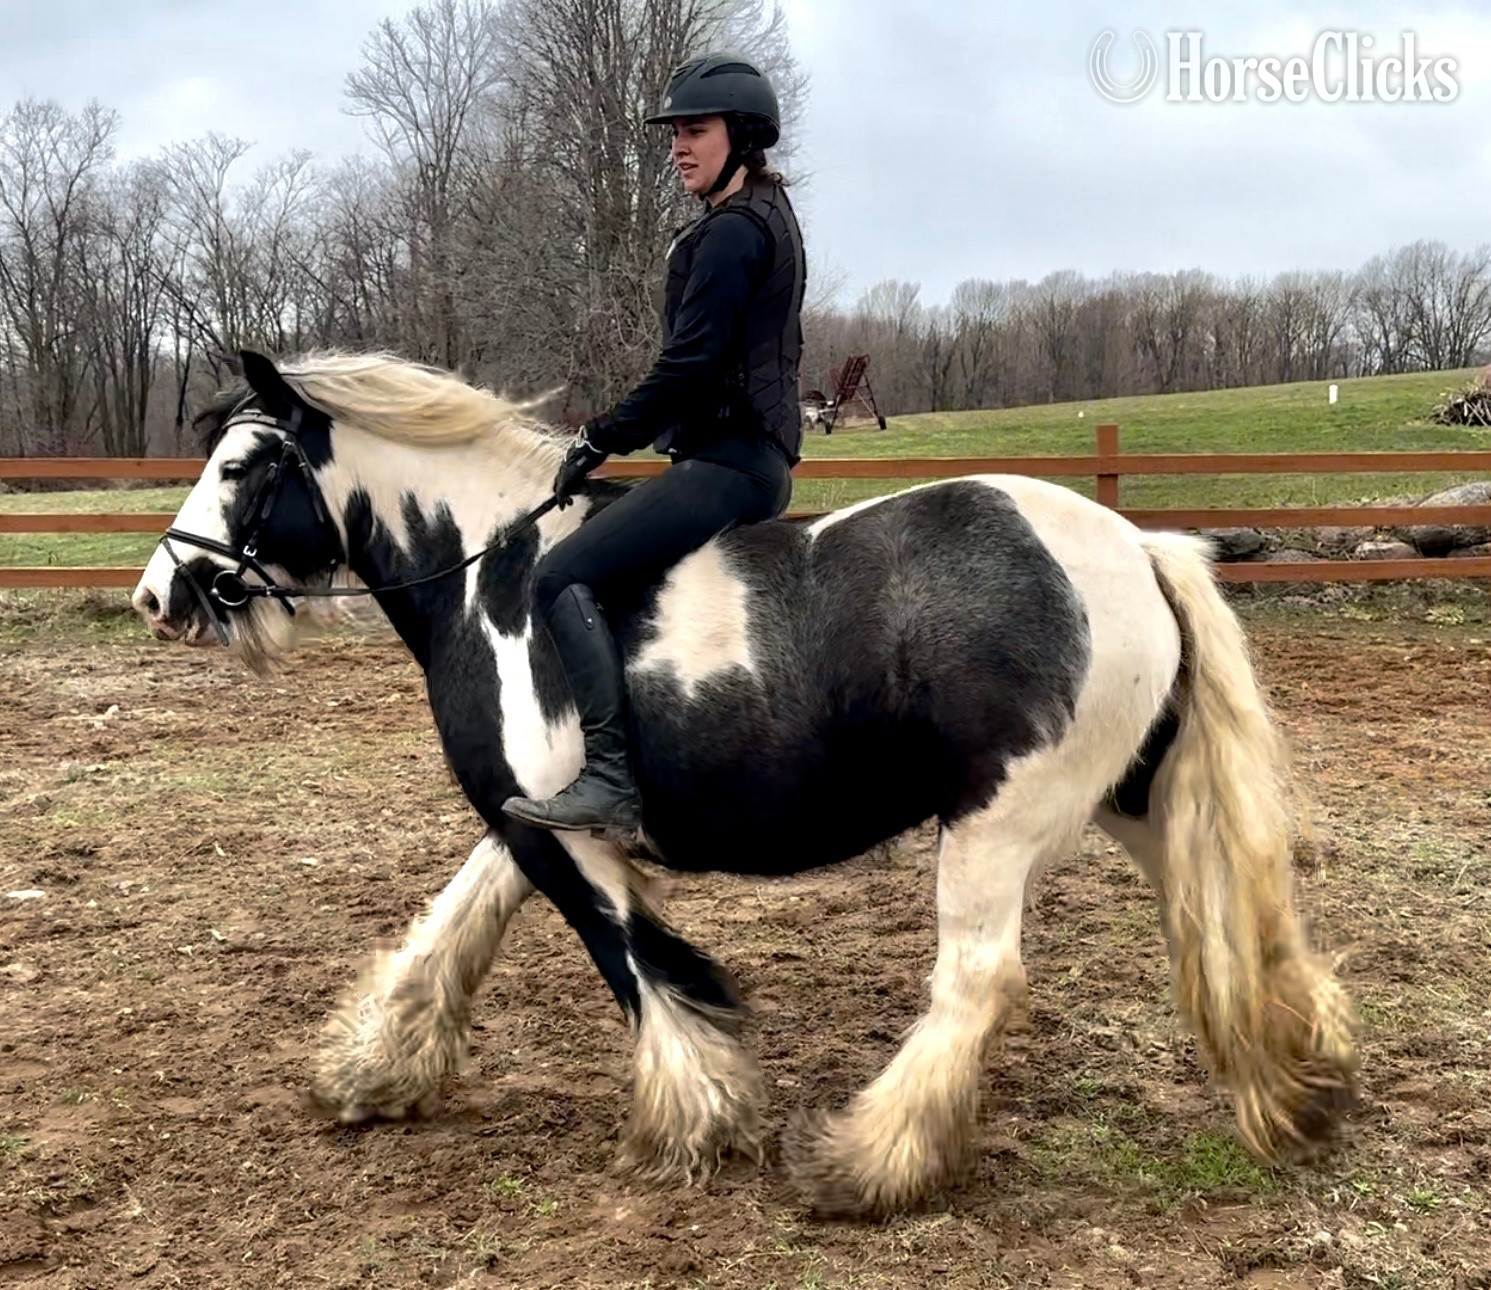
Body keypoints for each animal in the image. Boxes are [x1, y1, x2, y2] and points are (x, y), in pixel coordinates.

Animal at [130, 348, 1357, 1217]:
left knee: (976, 981)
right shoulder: (527, 818)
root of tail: (1136, 548)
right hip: (1133, 801)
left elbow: (629, 958)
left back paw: (867, 1164)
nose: (158, 595)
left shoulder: (565, 836)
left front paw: (698, 1117)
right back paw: (1301, 1080)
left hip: (996, 824)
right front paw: (372, 1069)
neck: (496, 577)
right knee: (1226, 921)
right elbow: (454, 922)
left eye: (239, 467)